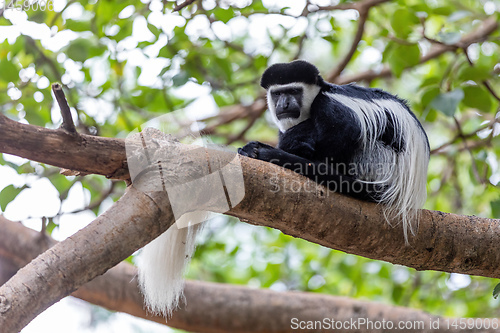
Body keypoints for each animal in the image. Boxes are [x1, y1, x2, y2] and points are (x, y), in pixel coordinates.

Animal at [238, 59, 430, 236]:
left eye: (294, 91)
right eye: (277, 93)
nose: (284, 104)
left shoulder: (330, 102)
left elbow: (347, 128)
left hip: (380, 161)